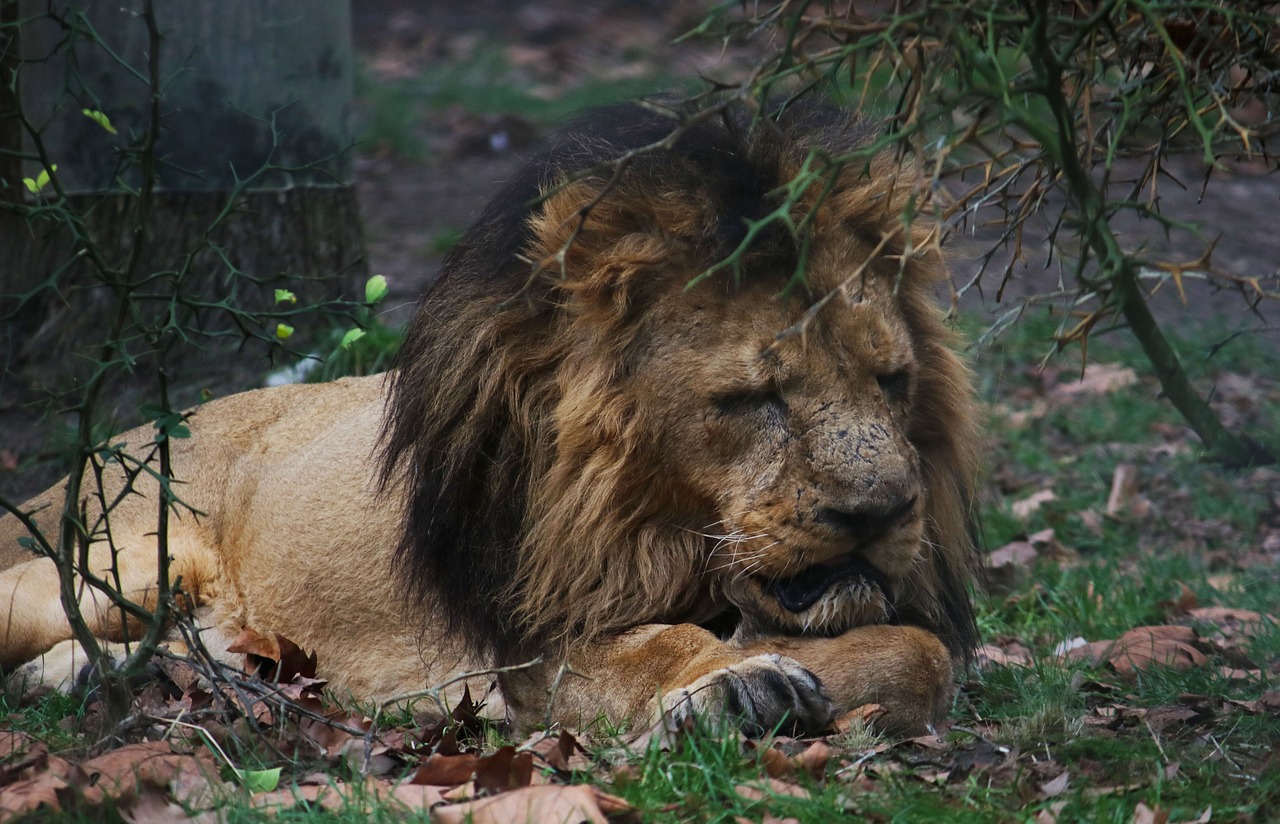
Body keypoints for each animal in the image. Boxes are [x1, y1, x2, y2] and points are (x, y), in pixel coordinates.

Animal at [0, 99, 977, 736]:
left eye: (892, 380)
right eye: (755, 399)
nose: (881, 514)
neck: (659, 519)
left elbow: (918, 652)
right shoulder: (541, 647)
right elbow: (669, 649)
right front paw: (734, 689)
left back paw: (90, 676)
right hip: (134, 563)